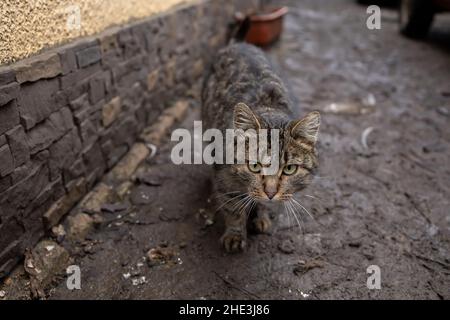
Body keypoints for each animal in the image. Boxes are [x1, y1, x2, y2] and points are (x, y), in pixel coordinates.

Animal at [200, 43, 320, 252]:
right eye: (254, 166)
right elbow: (232, 207)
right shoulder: (224, 179)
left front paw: (262, 217)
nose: (270, 193)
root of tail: (238, 44)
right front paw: (235, 234)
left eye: (290, 169)